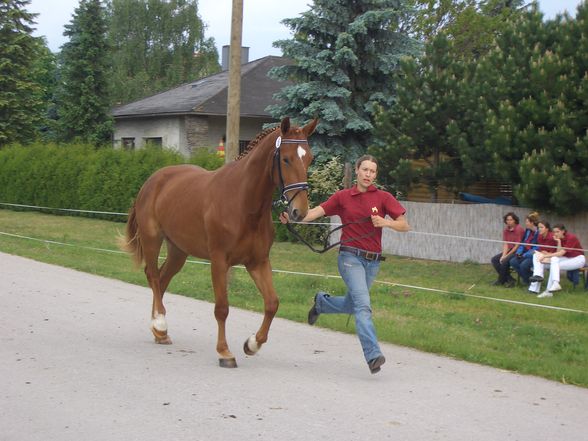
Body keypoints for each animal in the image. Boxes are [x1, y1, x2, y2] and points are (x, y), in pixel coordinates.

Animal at [120, 116, 316, 364]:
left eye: (309, 158)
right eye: (286, 159)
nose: (299, 211)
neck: (244, 204)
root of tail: (152, 180)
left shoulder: (258, 262)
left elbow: (272, 303)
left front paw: (252, 344)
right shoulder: (219, 261)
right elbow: (222, 308)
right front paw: (225, 352)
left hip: (178, 251)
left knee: (162, 280)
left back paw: (159, 332)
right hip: (152, 239)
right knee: (153, 276)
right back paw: (160, 323)